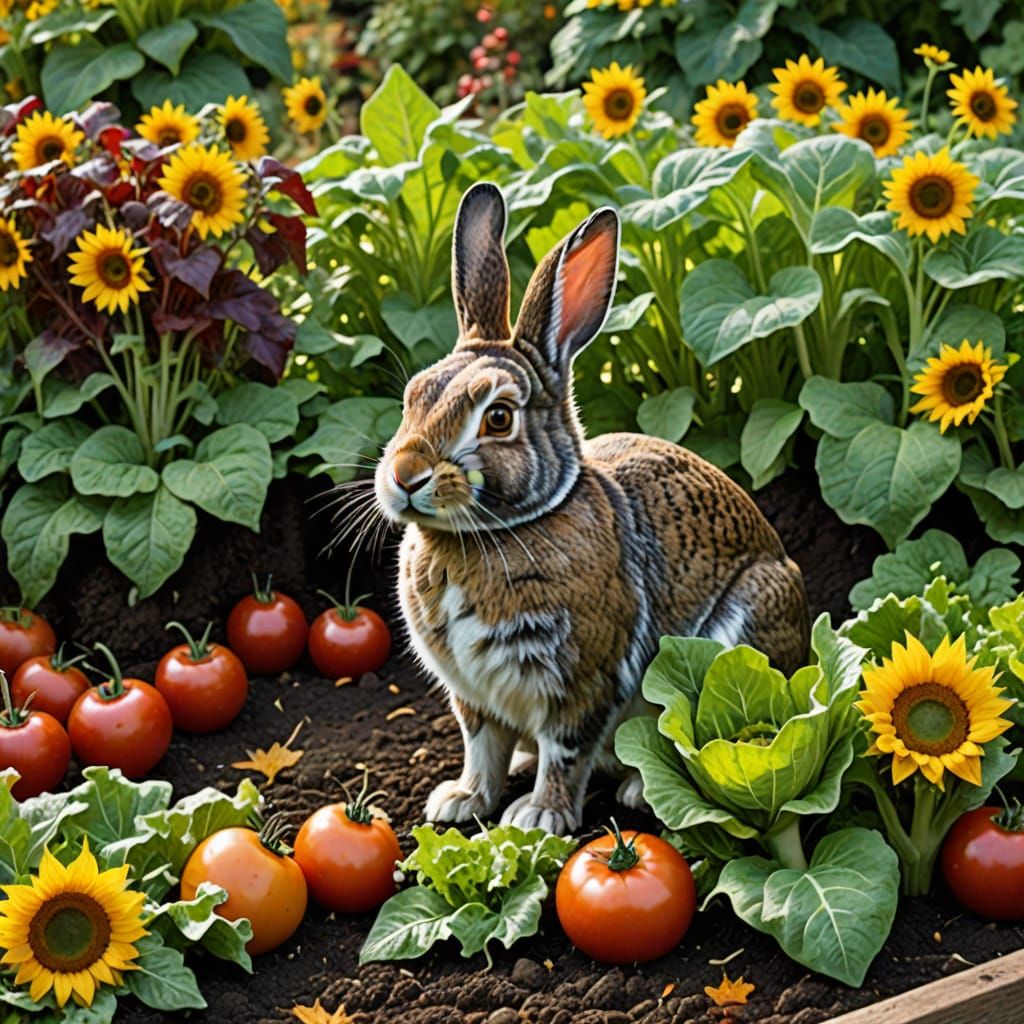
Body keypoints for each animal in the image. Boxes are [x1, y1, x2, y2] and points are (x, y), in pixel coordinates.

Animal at [374, 182, 810, 834]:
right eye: (413, 397)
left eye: (498, 417)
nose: (404, 477)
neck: (500, 529)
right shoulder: (473, 694)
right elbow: (482, 746)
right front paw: (461, 801)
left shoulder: (581, 679)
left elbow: (565, 748)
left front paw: (538, 818)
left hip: (744, 628)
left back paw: (633, 792)